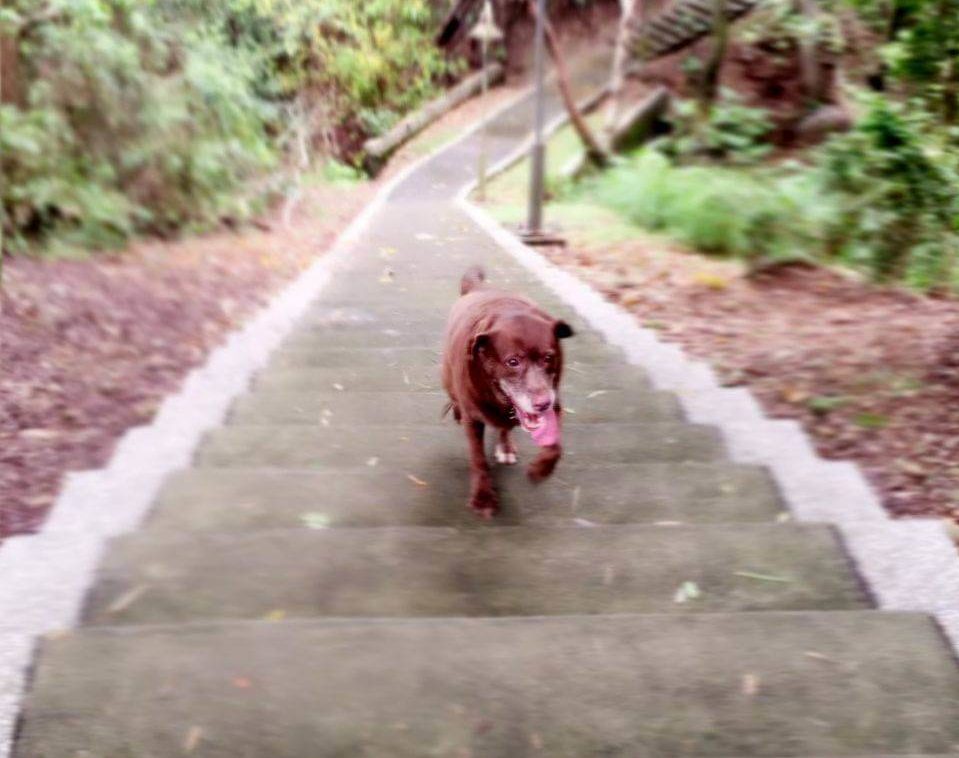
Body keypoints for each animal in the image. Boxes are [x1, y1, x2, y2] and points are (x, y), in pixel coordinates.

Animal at [444, 264, 572, 520]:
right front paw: (483, 497)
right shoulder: (473, 419)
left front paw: (540, 470)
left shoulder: (555, 403)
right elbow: (478, 459)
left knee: (504, 428)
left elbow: (555, 445)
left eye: (549, 357)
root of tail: (478, 287)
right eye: (513, 361)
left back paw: (506, 446)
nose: (542, 403)